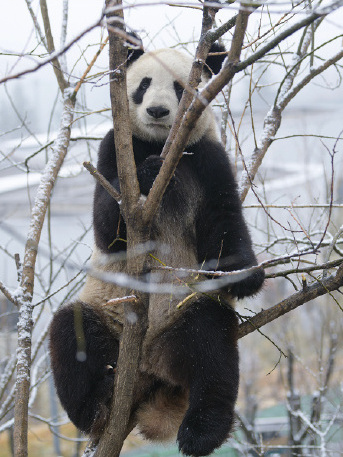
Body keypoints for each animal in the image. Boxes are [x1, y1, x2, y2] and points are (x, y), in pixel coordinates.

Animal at [49, 38, 266, 456]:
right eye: (144, 85)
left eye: (181, 88)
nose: (158, 111)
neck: (162, 145)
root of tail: (148, 370)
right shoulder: (113, 150)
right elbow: (109, 230)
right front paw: (147, 174)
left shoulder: (207, 159)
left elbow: (223, 220)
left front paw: (245, 275)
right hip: (107, 315)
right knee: (71, 332)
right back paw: (95, 405)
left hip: (185, 310)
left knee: (211, 349)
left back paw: (201, 432)